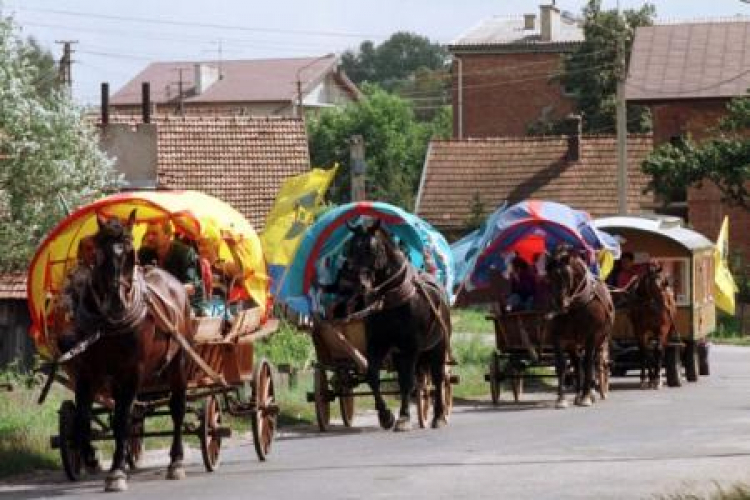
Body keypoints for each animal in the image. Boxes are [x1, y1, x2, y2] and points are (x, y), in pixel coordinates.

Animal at [62, 212, 194, 492]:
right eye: (98, 253)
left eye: (131, 254)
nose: (116, 303)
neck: (109, 325)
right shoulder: (88, 373)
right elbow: (82, 418)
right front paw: (90, 456)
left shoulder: (132, 373)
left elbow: (122, 419)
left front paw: (116, 472)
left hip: (180, 364)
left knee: (177, 409)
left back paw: (176, 462)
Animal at [342, 221, 452, 432]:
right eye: (350, 248)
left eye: (370, 249)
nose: (356, 282)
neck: (390, 299)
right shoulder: (377, 344)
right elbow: (373, 377)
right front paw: (386, 416)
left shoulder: (411, 347)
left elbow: (408, 382)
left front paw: (403, 418)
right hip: (401, 354)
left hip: (438, 346)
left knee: (438, 378)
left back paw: (439, 417)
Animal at [548, 244, 616, 408]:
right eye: (549, 276)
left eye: (566, 275)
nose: (559, 304)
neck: (575, 307)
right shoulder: (558, 337)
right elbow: (561, 365)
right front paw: (561, 399)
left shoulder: (591, 337)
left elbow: (588, 364)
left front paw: (586, 397)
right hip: (573, 343)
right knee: (577, 363)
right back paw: (578, 394)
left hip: (600, 339)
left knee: (594, 363)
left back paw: (590, 393)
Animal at [632, 262, 680, 390]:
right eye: (654, 284)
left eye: (664, 282)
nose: (666, 305)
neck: (650, 306)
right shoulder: (640, 331)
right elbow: (645, 352)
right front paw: (646, 379)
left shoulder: (662, 329)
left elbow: (658, 350)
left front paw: (657, 380)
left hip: (668, 332)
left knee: (662, 349)